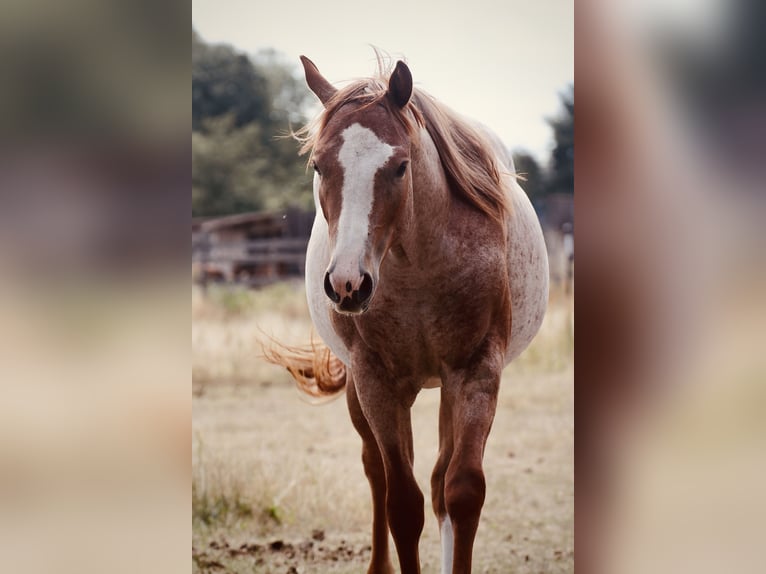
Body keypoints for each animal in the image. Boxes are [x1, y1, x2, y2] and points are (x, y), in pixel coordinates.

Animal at [266, 55, 549, 574]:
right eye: (318, 165)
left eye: (400, 166)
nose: (348, 284)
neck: (417, 267)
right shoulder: (376, 379)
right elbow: (401, 501)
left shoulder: (477, 370)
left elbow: (461, 492)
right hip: (365, 389)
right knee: (377, 471)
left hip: (447, 388)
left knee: (439, 481)